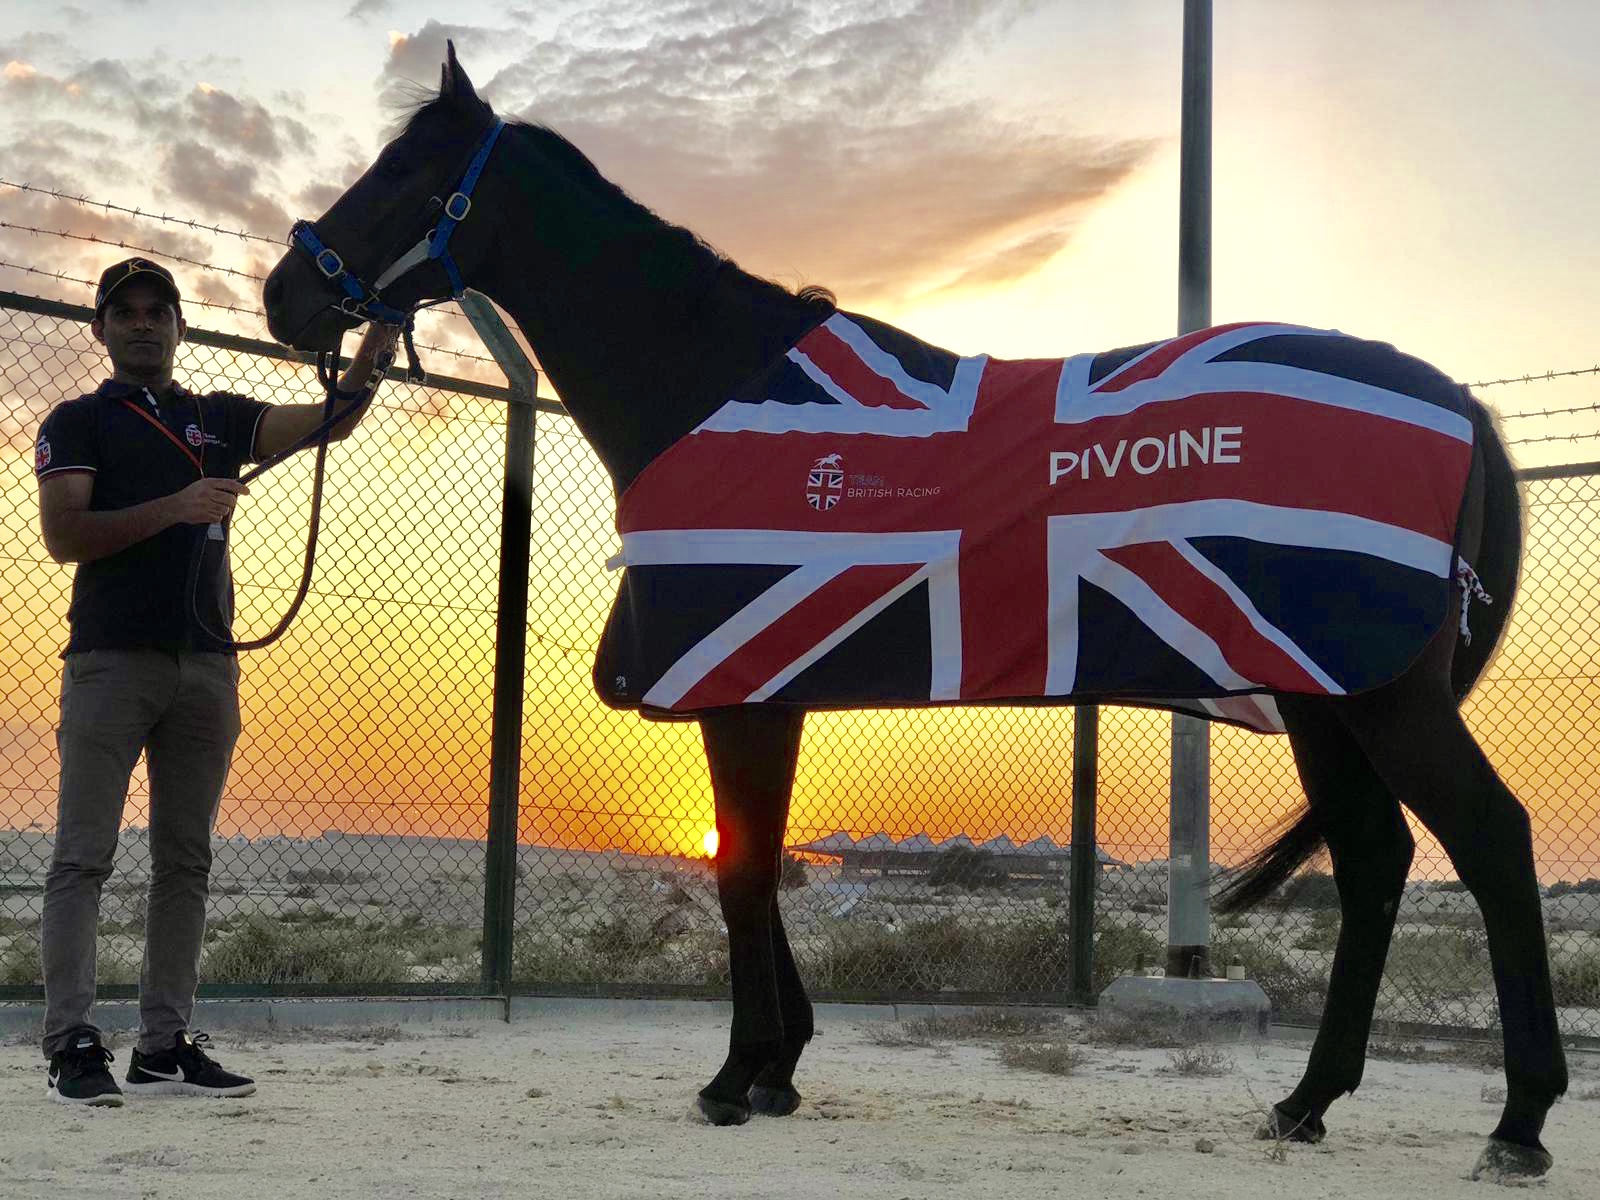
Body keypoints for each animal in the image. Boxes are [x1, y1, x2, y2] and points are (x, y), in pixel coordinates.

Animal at [265, 47, 1574, 1184]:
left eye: (404, 171)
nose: (286, 296)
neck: (708, 386)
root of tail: (1453, 400)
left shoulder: (738, 691)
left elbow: (742, 871)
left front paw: (738, 1076)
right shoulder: (767, 689)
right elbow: (757, 864)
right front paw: (778, 1067)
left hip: (1377, 698)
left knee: (1488, 840)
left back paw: (1517, 1122)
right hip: (1323, 697)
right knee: (1375, 859)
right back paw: (1306, 1102)